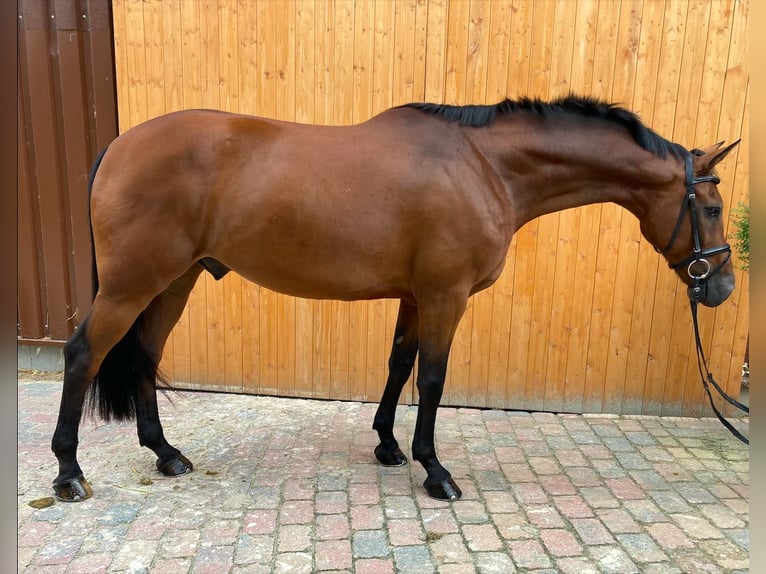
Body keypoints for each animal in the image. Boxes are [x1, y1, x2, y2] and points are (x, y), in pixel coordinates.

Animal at [49, 97, 736, 502]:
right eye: (711, 206)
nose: (721, 287)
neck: (485, 166)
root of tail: (119, 145)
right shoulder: (445, 295)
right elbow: (431, 378)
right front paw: (435, 471)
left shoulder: (414, 295)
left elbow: (399, 365)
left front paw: (386, 444)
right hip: (135, 282)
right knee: (84, 354)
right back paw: (68, 474)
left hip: (176, 279)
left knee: (143, 354)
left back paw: (166, 455)